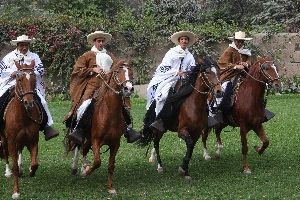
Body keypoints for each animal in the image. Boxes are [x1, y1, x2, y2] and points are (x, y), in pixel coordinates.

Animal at [0, 60, 42, 199]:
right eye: (19, 79)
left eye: (34, 79)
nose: (29, 102)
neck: (23, 116)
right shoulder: (12, 141)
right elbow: (14, 167)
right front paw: (16, 191)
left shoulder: (33, 140)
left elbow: (35, 163)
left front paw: (31, 171)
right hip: (4, 139)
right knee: (6, 154)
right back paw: (7, 172)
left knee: (20, 151)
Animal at [67, 59, 134, 194]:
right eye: (117, 71)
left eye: (131, 72)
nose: (128, 88)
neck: (110, 114)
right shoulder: (96, 140)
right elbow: (97, 161)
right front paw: (87, 170)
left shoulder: (115, 143)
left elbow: (110, 165)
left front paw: (110, 187)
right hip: (82, 134)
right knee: (78, 147)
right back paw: (76, 167)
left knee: (84, 149)